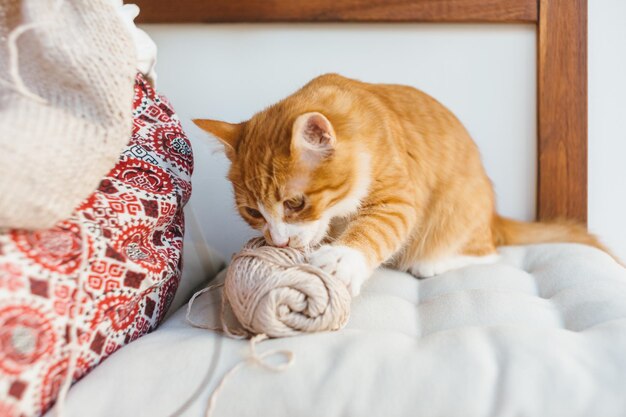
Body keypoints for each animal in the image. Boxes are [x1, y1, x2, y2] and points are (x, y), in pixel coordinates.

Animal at [195, 73, 608, 294]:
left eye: (294, 204)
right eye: (253, 212)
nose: (278, 242)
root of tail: (493, 214)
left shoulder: (398, 196)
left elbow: (376, 227)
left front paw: (343, 258)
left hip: (456, 206)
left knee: (486, 251)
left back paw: (431, 263)